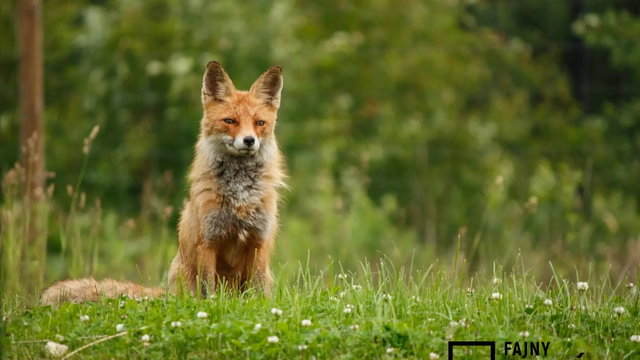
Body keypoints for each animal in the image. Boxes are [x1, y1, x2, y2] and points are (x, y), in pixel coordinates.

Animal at [41, 61, 286, 304]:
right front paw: (210, 307)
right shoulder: (208, 241)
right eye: (230, 121)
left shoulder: (258, 241)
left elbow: (256, 291)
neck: (240, 195)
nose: (249, 140)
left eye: (259, 123)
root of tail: (168, 293)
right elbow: (208, 291)